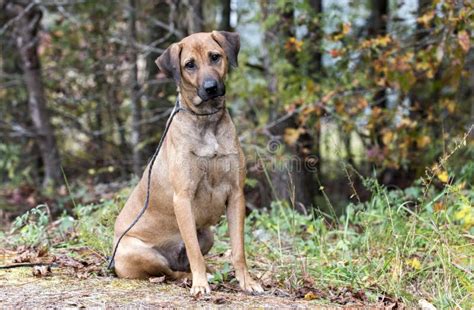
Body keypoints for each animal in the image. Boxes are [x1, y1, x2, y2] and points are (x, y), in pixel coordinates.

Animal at [113, 30, 264, 296]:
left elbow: (238, 250)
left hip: (208, 235)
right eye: (189, 65)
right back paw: (191, 278)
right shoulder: (182, 198)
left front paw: (247, 282)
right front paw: (200, 285)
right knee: (170, 272)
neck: (207, 120)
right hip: (140, 253)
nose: (211, 88)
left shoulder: (236, 194)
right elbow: (194, 253)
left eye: (215, 57)